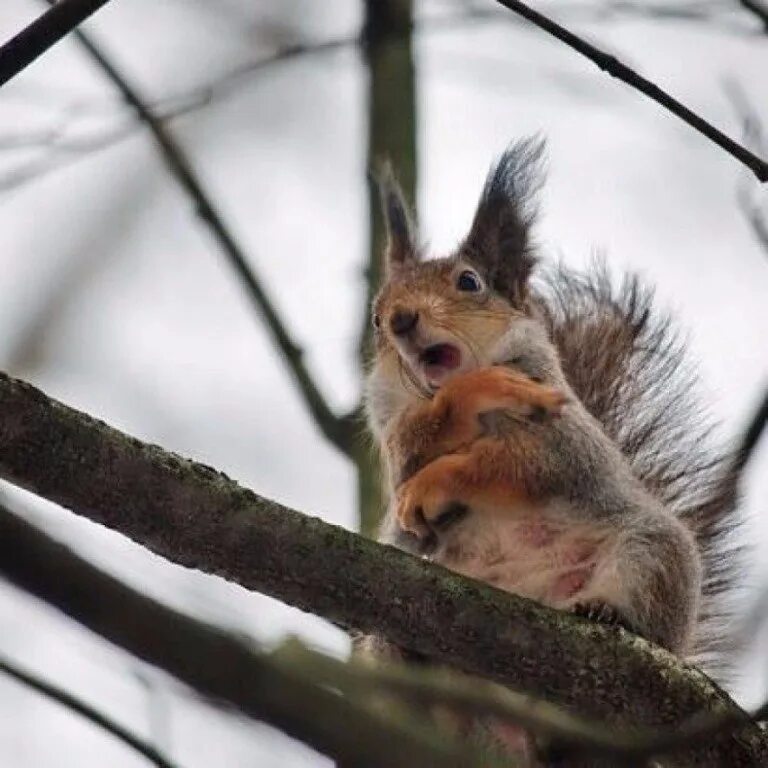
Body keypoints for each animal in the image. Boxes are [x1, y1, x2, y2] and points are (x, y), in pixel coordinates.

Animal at [364, 140, 740, 680]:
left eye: (469, 282)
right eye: (375, 317)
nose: (400, 320)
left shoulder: (563, 434)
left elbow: (521, 463)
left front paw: (437, 480)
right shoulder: (392, 435)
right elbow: (408, 457)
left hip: (653, 555)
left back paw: (607, 611)